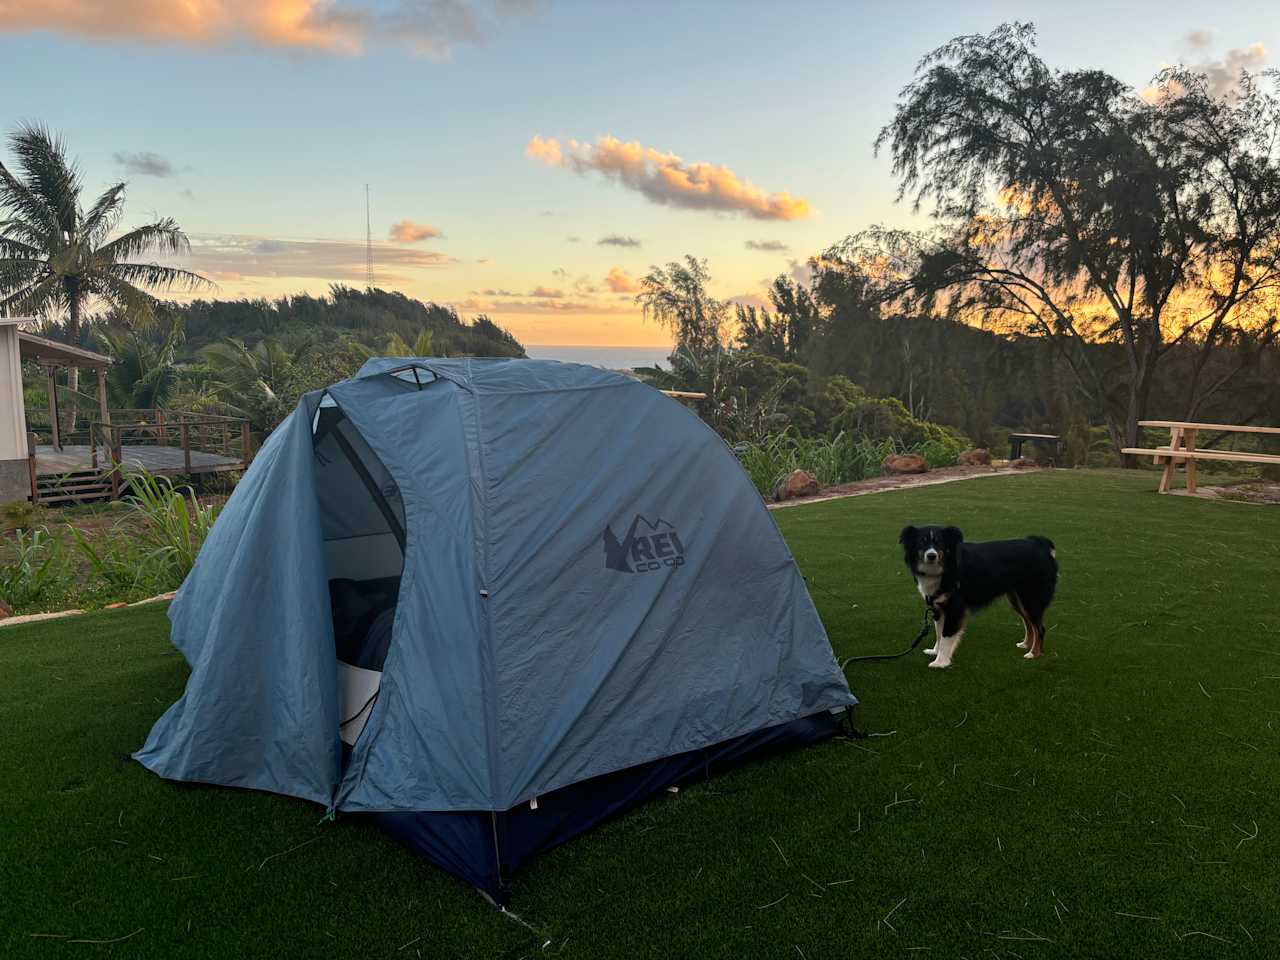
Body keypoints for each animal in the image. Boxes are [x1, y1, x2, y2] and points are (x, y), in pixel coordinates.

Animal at [901, 527, 1059, 670]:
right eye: (921, 542)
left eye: (940, 543)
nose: (931, 556)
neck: (945, 565)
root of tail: (1040, 544)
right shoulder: (938, 608)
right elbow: (939, 634)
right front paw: (935, 652)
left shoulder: (955, 608)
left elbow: (946, 635)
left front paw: (941, 662)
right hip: (1017, 599)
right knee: (1029, 624)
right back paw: (1026, 645)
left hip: (1031, 599)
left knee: (1040, 628)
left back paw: (1034, 654)